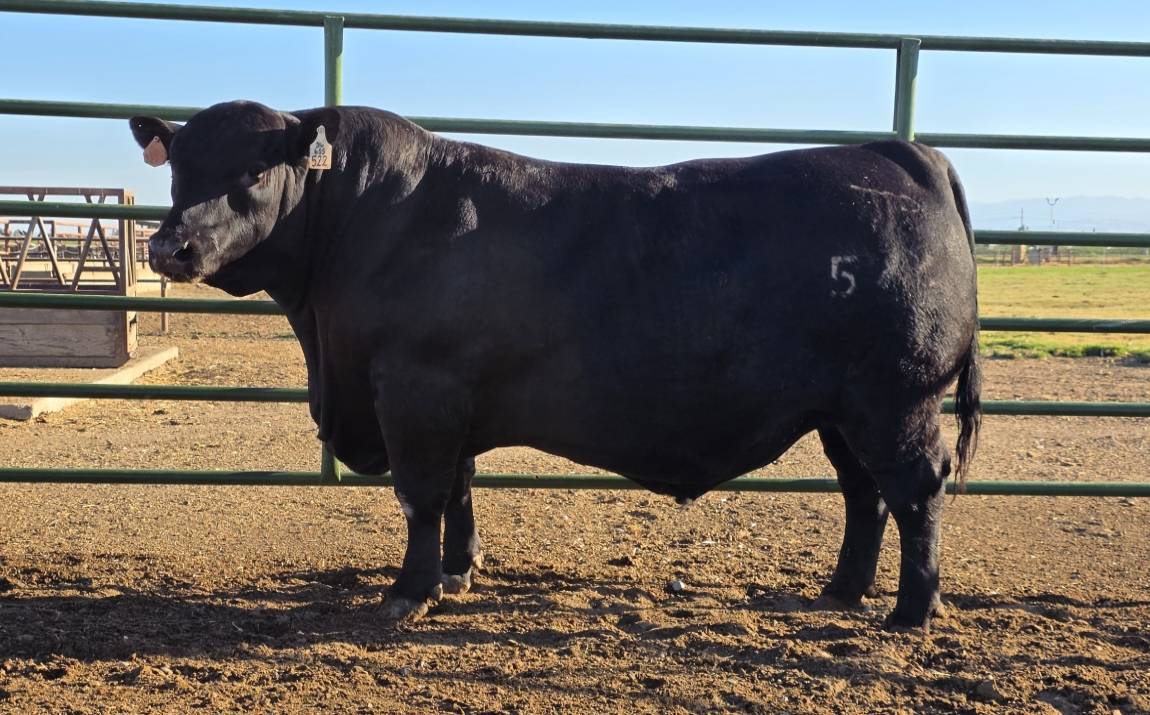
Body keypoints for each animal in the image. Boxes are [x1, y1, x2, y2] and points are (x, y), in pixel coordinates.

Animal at [130, 100, 981, 629]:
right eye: (178, 170)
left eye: (252, 173)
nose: (171, 246)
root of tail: (897, 152)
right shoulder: (450, 396)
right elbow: (461, 488)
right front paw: (458, 571)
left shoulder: (413, 390)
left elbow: (420, 495)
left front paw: (408, 591)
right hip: (843, 410)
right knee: (864, 494)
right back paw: (840, 592)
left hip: (895, 399)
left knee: (915, 491)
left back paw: (911, 610)